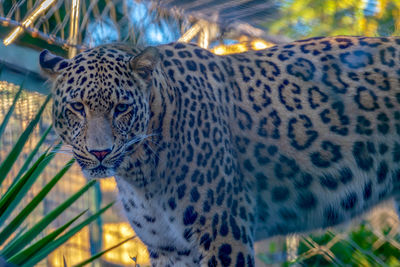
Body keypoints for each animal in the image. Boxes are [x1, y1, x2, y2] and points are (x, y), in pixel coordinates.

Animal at [39, 36, 400, 267]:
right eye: (77, 107)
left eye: (121, 108)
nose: (100, 153)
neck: (140, 172)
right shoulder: (168, 249)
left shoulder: (224, 233)